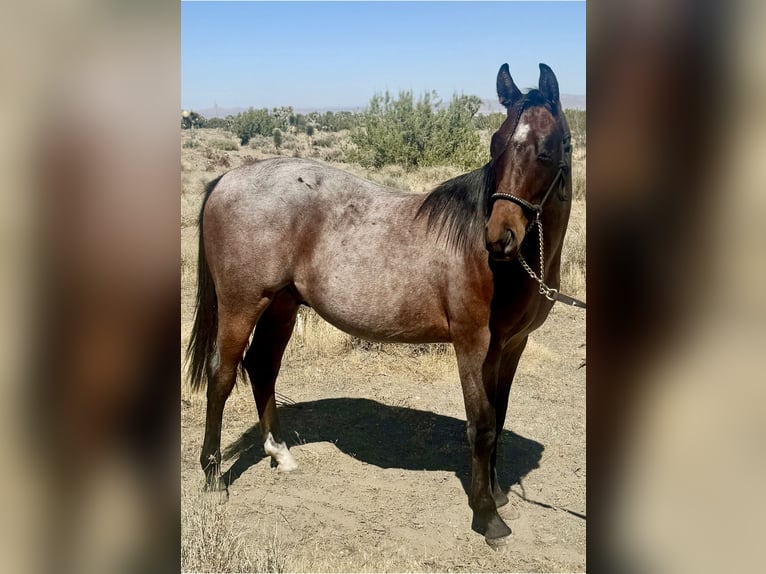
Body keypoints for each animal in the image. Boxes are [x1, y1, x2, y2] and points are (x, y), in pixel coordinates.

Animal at [186, 63, 574, 546]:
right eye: (496, 144)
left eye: (545, 150)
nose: (498, 237)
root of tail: (226, 180)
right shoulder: (473, 343)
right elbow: (481, 424)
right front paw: (487, 516)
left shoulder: (511, 346)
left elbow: (499, 419)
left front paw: (497, 494)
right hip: (242, 304)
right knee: (222, 376)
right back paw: (213, 478)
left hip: (282, 304)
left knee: (261, 366)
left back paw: (280, 453)